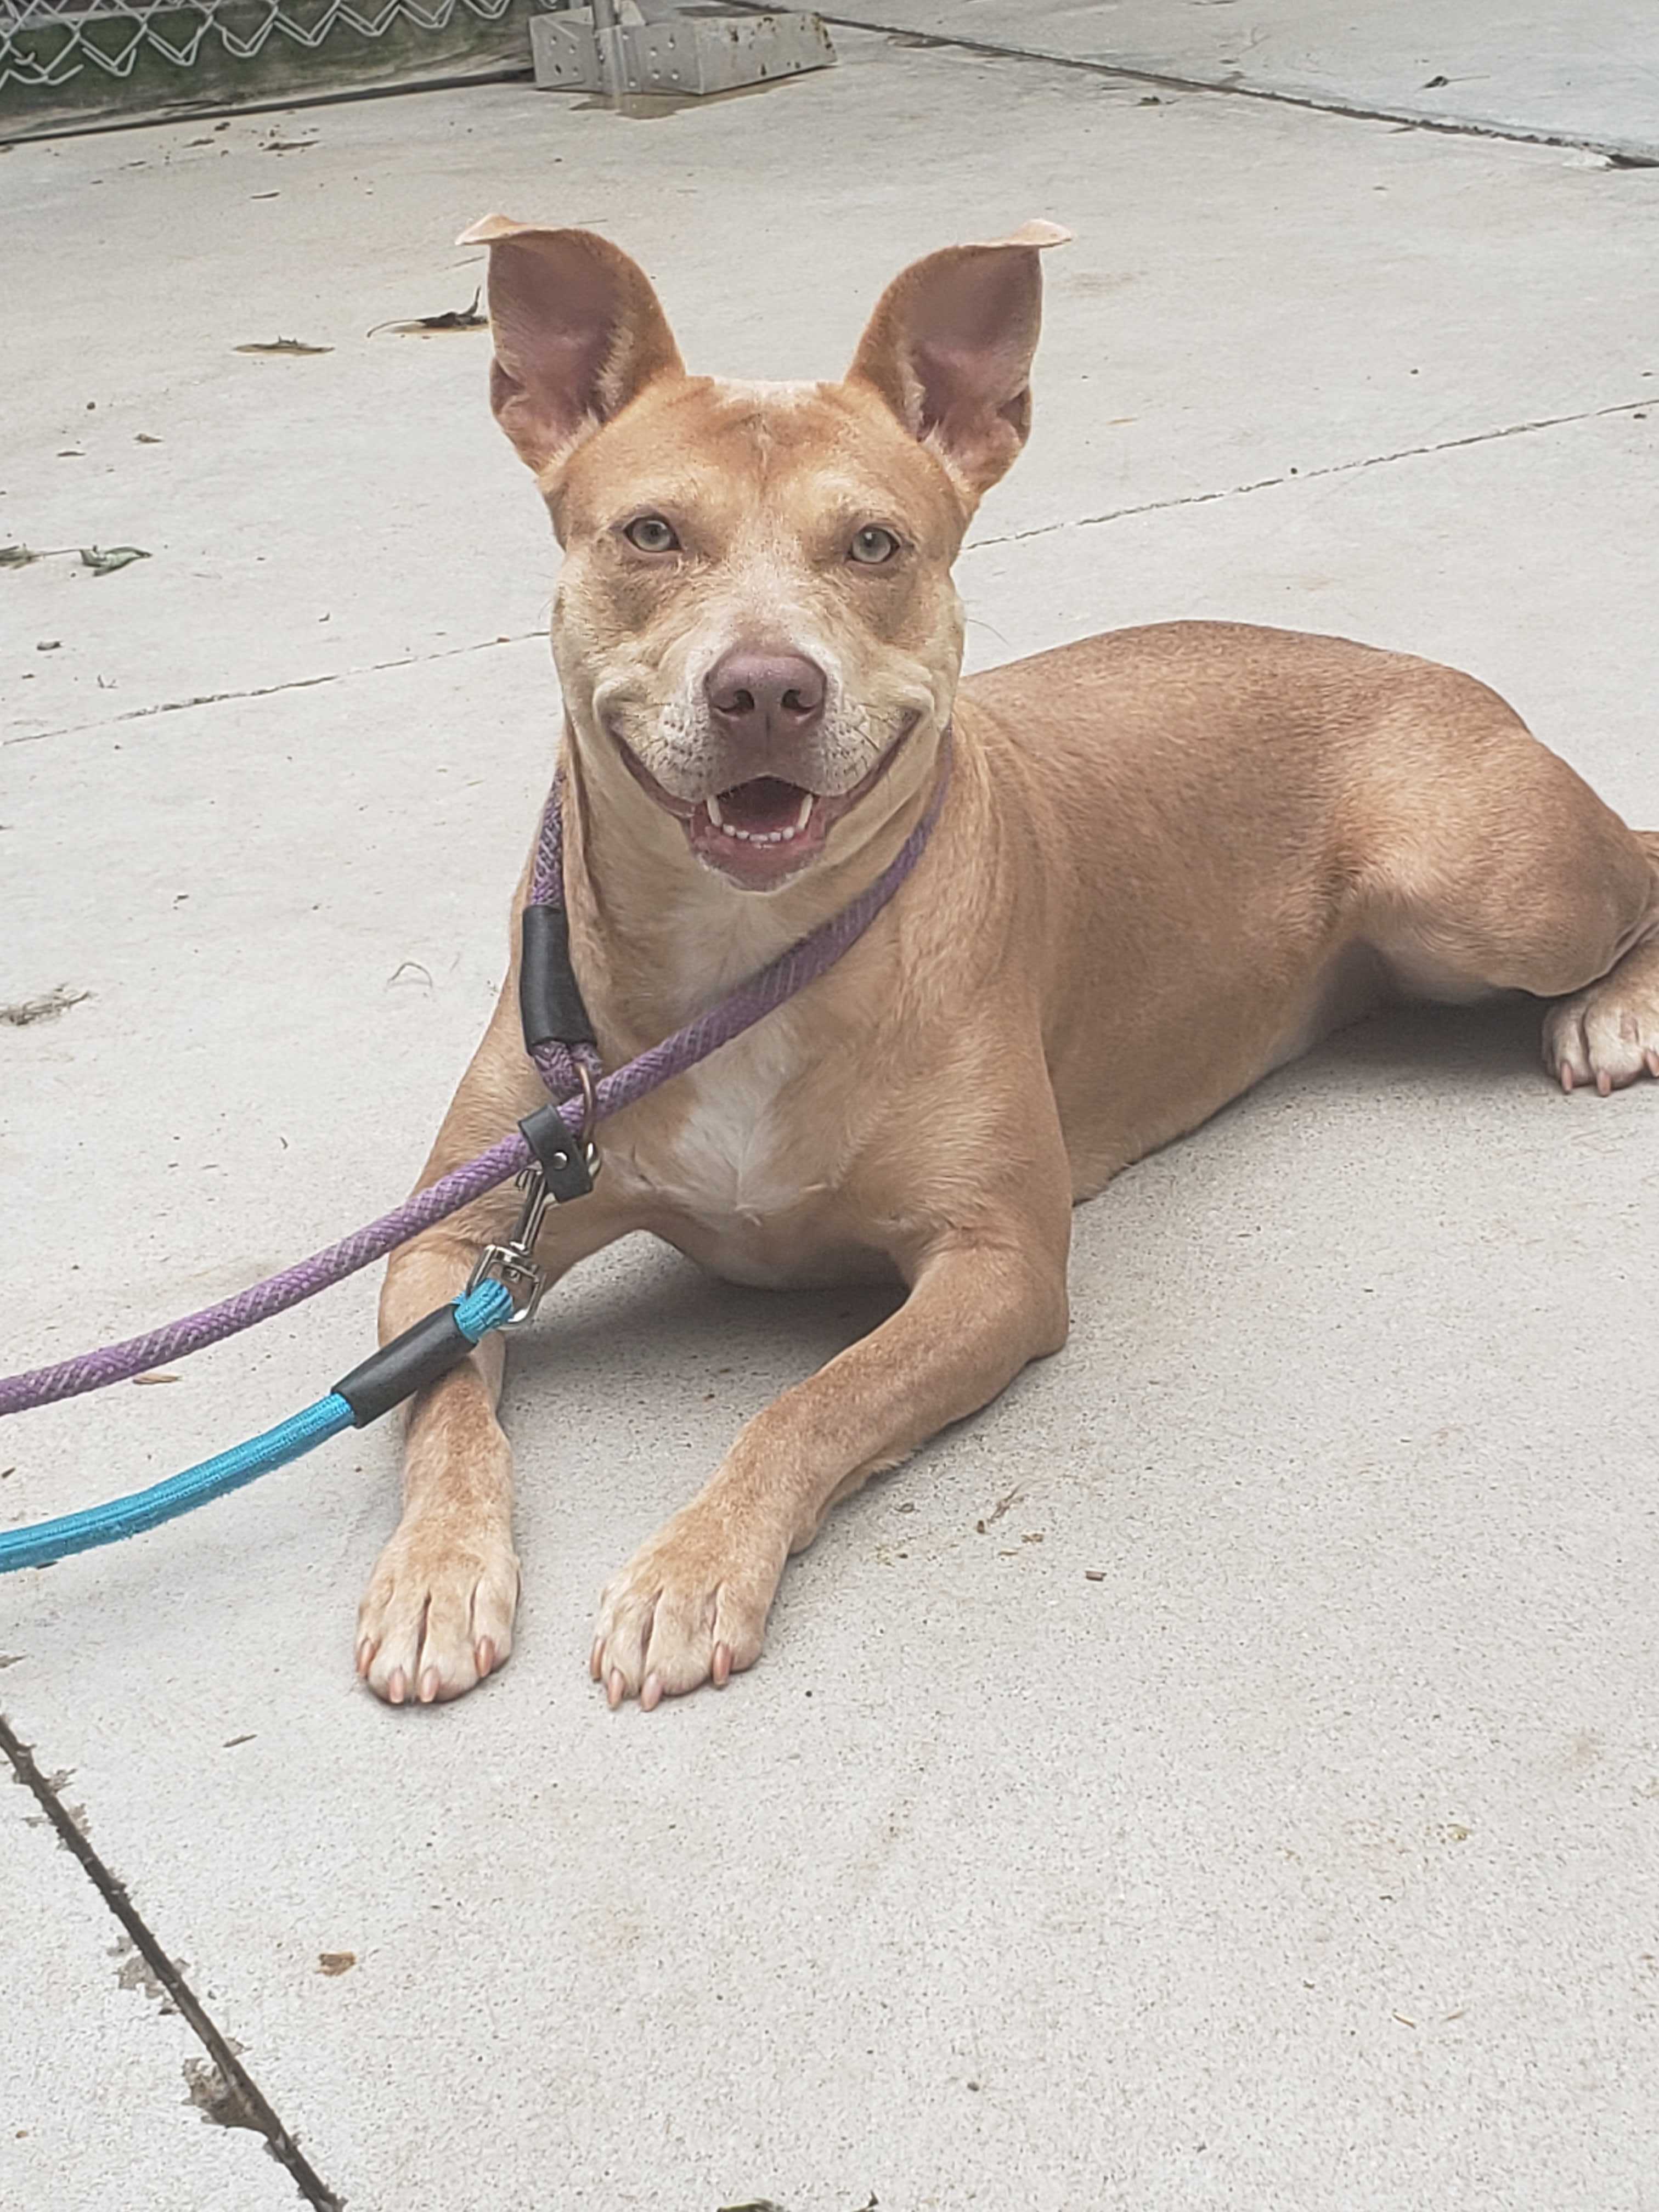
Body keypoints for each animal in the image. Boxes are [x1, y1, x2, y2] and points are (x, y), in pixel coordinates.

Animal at [354, 220, 1659, 1707]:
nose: (765, 689)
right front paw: (437, 1572)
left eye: (875, 543)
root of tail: (1420, 662)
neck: (748, 962)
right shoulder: (453, 1244)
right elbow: (443, 1400)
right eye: (651, 534)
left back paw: (1615, 1012)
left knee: (1646, 853)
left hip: (1488, 888)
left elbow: (809, 1402)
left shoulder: (997, 1265)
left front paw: (695, 1566)